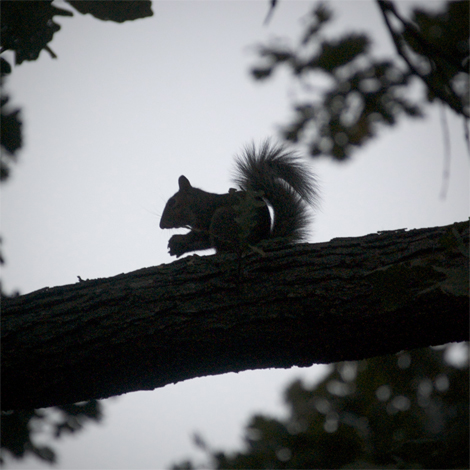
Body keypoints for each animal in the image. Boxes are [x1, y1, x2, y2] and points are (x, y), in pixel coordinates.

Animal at [160, 140, 318, 258]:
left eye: (172, 203)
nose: (161, 225)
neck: (197, 203)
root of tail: (260, 240)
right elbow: (203, 242)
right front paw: (179, 247)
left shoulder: (205, 217)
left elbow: (200, 236)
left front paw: (178, 240)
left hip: (223, 219)